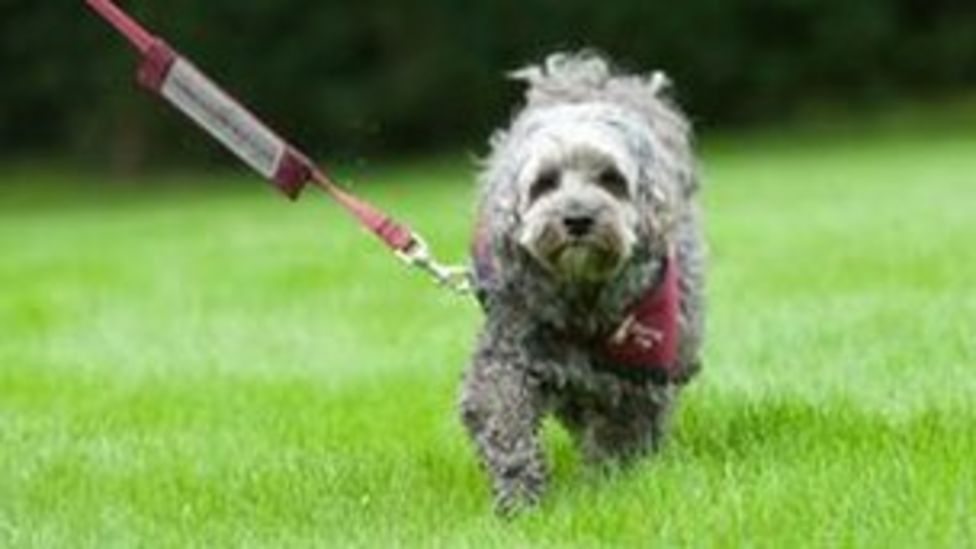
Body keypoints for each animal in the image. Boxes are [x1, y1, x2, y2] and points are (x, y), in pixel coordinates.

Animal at [462, 52, 704, 512]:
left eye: (610, 179)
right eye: (545, 183)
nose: (577, 218)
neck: (581, 298)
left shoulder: (636, 371)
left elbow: (624, 432)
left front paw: (614, 484)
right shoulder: (508, 356)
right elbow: (504, 419)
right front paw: (519, 496)